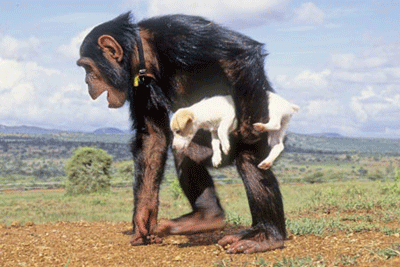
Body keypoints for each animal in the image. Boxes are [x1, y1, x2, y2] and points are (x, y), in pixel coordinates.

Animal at [170, 93, 298, 170]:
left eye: (178, 131)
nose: (174, 148)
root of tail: (288, 105)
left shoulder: (229, 117)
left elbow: (222, 131)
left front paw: (226, 146)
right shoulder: (214, 131)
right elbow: (215, 144)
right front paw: (216, 158)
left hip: (272, 111)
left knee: (275, 123)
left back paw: (260, 127)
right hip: (277, 132)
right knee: (278, 146)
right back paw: (266, 162)